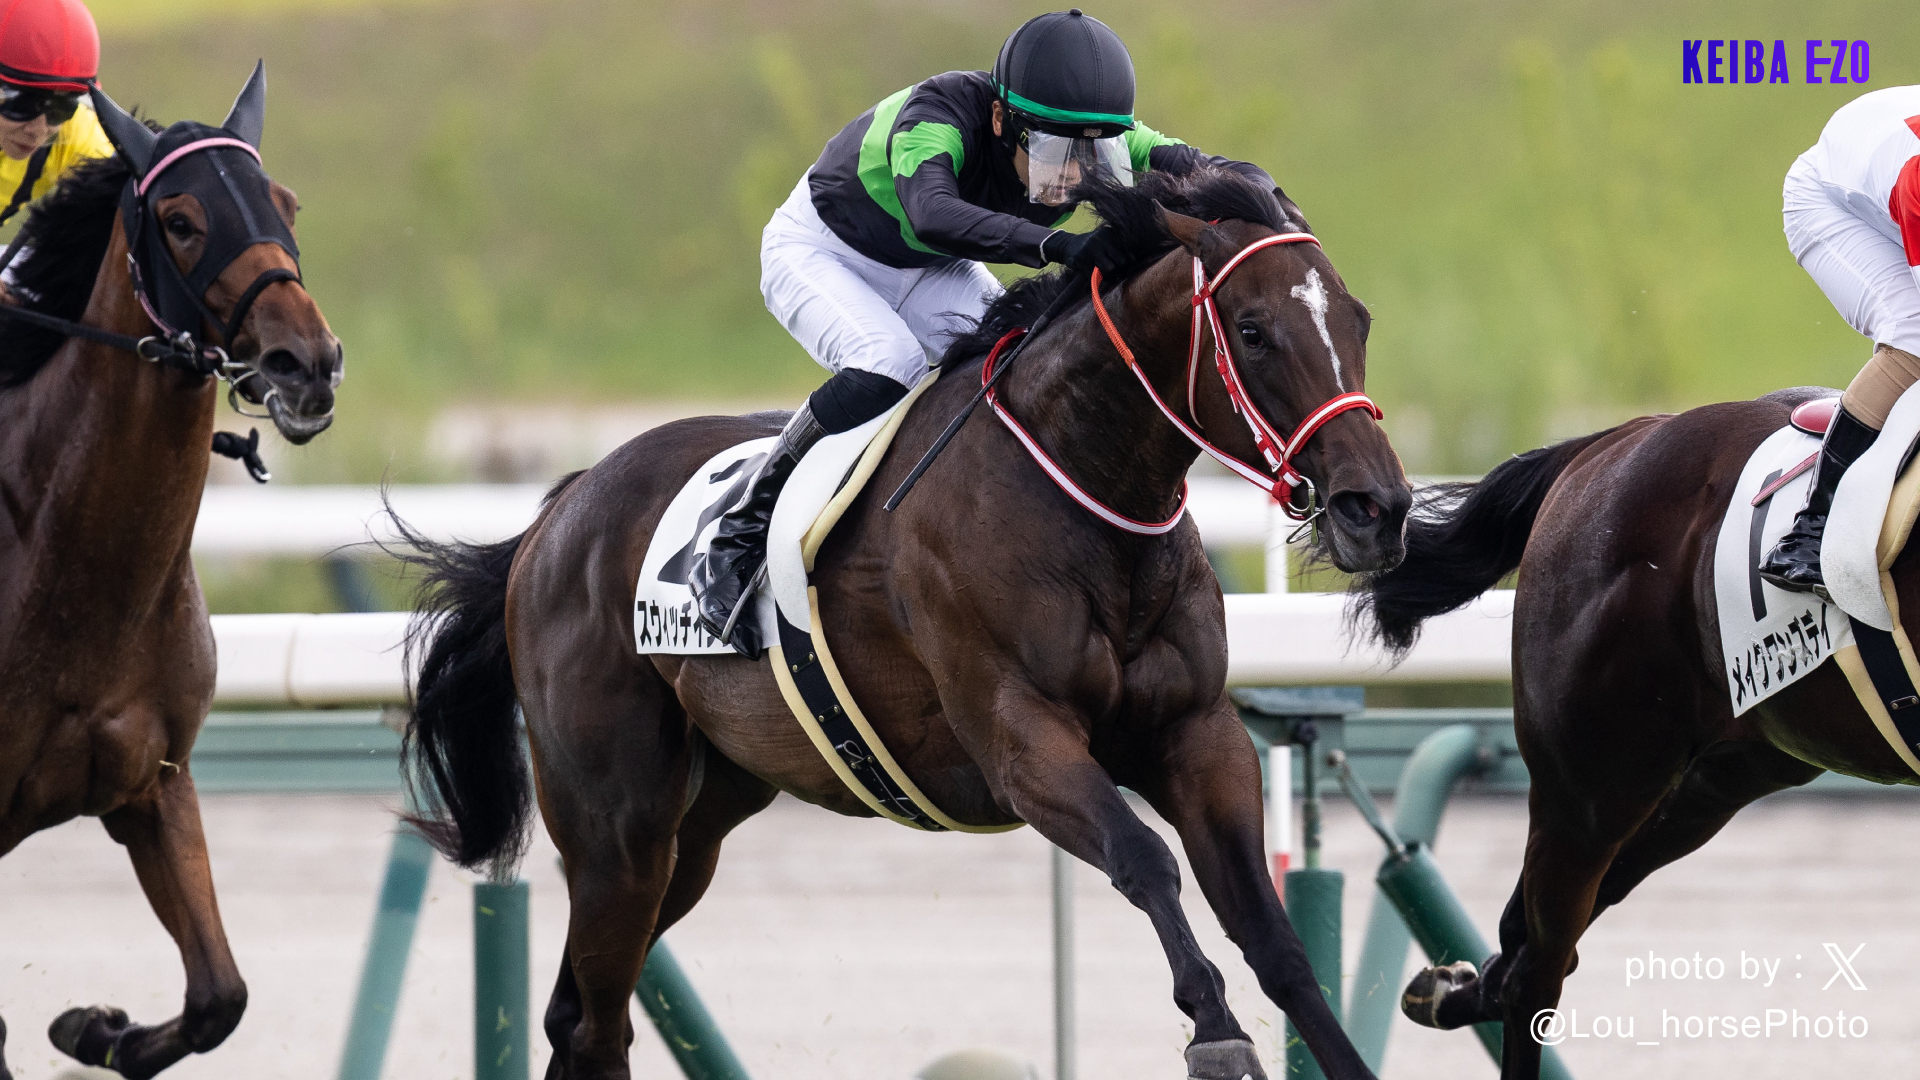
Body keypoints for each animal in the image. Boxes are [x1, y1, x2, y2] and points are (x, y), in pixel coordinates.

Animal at [0, 70, 341, 1078]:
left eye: (285, 203)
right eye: (183, 220)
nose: (305, 362)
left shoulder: (155, 782)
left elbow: (220, 996)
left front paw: (92, 1027)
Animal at [400, 167, 1410, 1080]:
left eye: (1359, 319)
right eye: (1253, 330)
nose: (1378, 507)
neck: (1078, 487)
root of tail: (558, 512)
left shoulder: (1197, 733)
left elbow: (1270, 933)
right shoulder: (1019, 738)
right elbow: (1144, 858)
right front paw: (1215, 1030)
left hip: (701, 825)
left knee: (577, 1015)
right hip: (618, 828)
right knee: (598, 1028)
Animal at [1348, 386, 1918, 1079]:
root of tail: (1621, 438)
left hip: (1727, 770)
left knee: (1534, 935)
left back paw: (1452, 988)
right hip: (1588, 787)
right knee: (1537, 970)